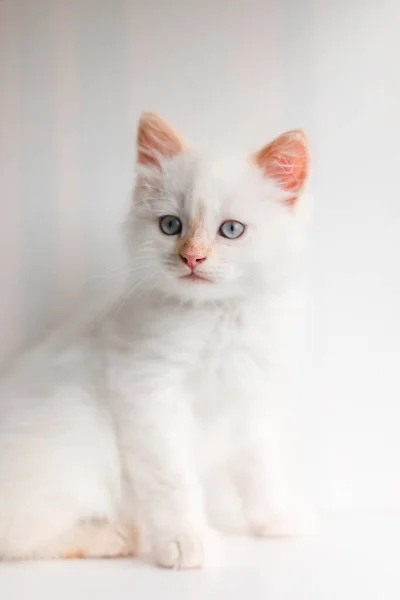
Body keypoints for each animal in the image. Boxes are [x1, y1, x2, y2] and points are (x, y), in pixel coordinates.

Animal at [0, 112, 310, 568]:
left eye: (231, 230)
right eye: (171, 225)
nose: (192, 257)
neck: (216, 318)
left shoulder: (250, 401)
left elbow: (261, 469)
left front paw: (277, 518)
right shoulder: (148, 392)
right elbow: (173, 480)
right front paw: (185, 541)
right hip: (76, 435)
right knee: (20, 537)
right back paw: (114, 535)